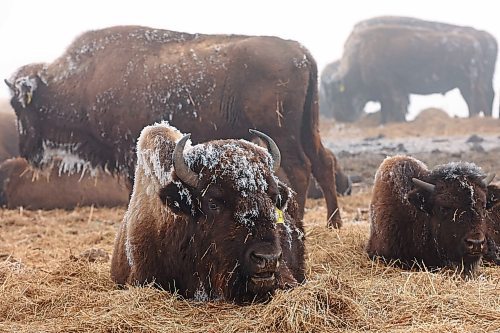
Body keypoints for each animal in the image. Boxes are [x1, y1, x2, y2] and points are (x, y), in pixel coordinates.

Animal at [322, 16, 498, 123]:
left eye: (338, 94)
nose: (340, 117)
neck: (360, 54)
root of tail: (475, 42)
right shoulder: (390, 90)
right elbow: (388, 106)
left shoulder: (389, 87)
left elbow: (395, 104)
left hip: (466, 84)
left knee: (473, 101)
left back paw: (471, 118)